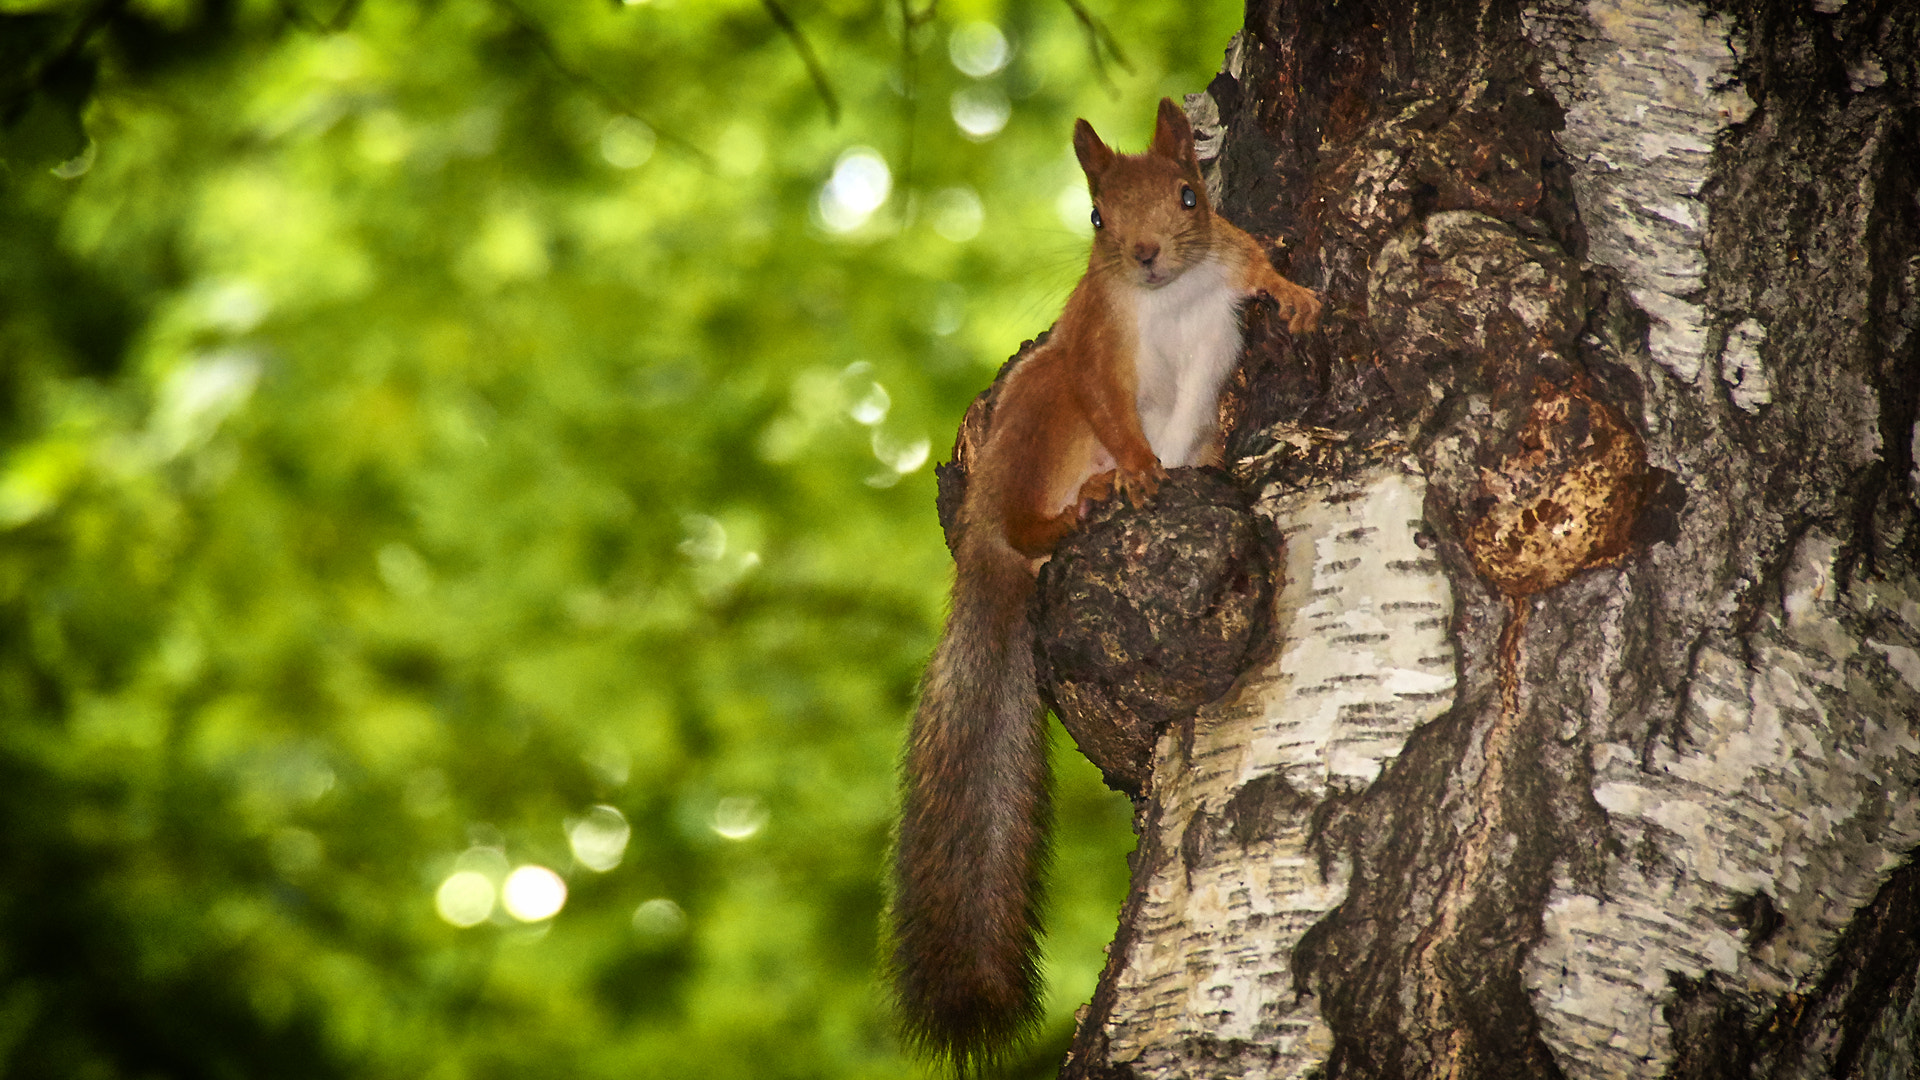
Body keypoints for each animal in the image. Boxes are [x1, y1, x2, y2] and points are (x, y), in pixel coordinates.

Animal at [889, 96, 1321, 1068]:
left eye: (1190, 194)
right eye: (1095, 217)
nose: (1146, 253)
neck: (1171, 299)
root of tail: (984, 543)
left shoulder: (1222, 280)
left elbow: (1256, 269)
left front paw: (1297, 294)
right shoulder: (1094, 350)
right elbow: (1116, 413)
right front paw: (1136, 470)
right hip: (1038, 425)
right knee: (1030, 514)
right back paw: (1080, 506)